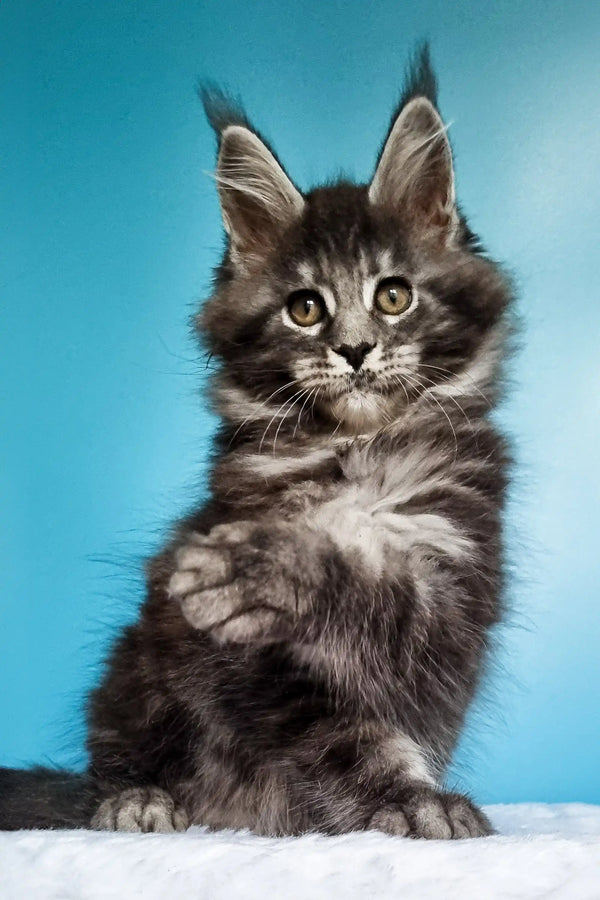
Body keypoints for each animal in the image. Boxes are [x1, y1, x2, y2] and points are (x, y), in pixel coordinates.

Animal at [2, 47, 512, 836]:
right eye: (305, 309)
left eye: (393, 295)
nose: (355, 350)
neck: (354, 453)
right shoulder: (247, 662)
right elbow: (345, 735)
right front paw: (405, 798)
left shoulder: (455, 591)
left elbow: (375, 592)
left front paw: (272, 568)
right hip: (134, 667)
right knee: (108, 764)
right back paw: (137, 798)